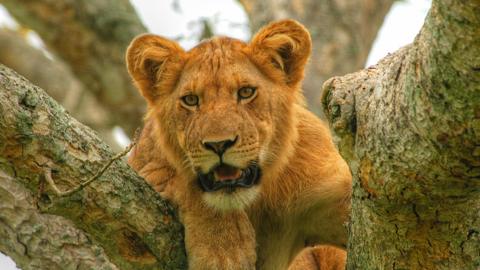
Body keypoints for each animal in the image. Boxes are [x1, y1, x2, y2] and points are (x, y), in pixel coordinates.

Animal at [125, 19, 350, 270]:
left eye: (246, 92)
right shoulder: (142, 167)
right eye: (191, 100)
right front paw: (224, 249)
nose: (219, 145)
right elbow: (181, 181)